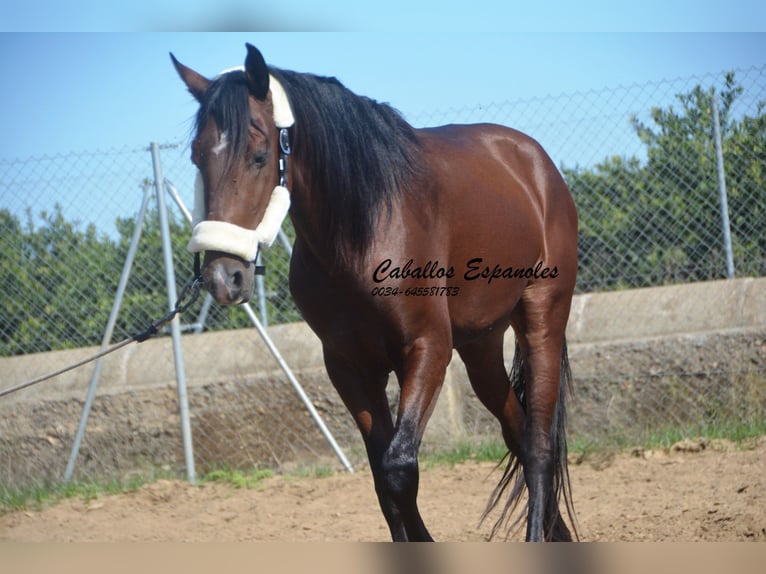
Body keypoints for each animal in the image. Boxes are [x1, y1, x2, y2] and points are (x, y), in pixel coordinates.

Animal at [171, 42, 580, 544]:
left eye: (259, 154)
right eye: (197, 156)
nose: (221, 276)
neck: (363, 235)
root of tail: (533, 162)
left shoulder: (426, 349)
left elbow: (399, 468)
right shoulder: (350, 368)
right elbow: (382, 482)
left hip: (542, 318)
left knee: (539, 442)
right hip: (481, 347)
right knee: (517, 431)